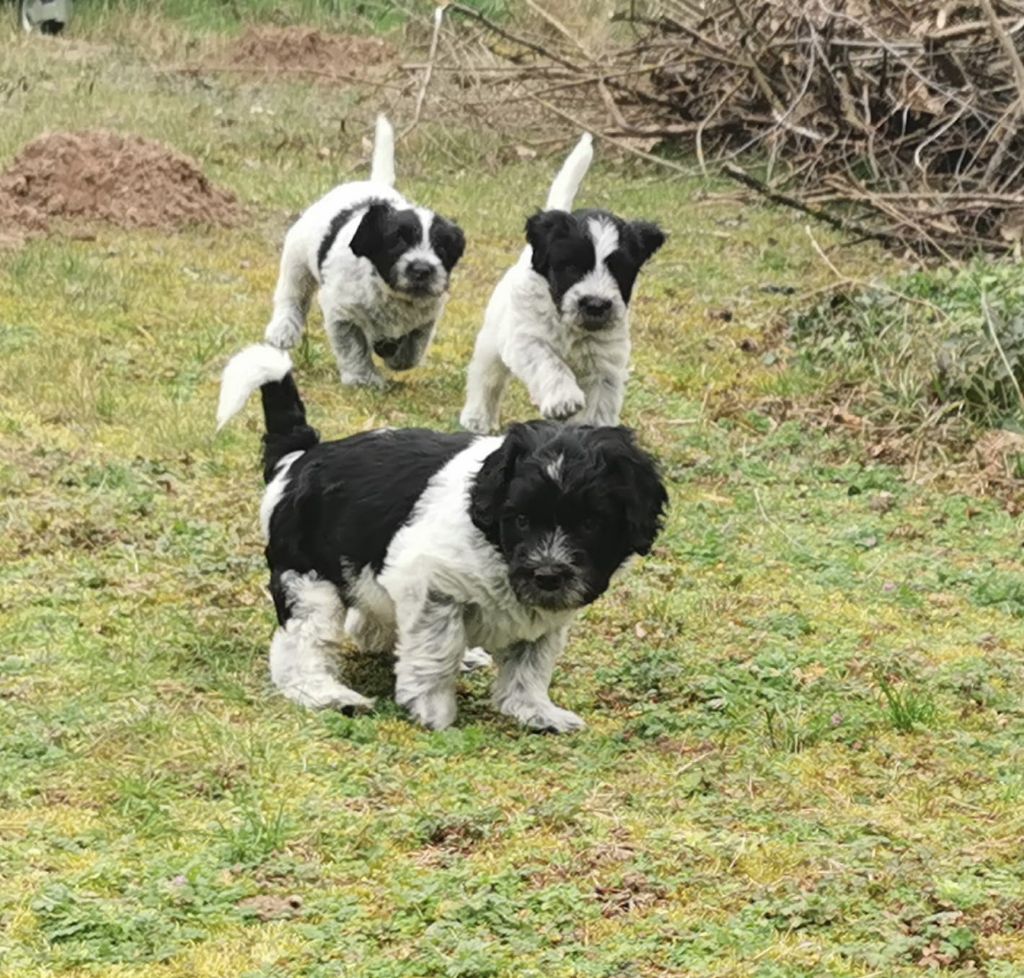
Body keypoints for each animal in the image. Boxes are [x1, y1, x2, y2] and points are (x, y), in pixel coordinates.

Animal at [217, 339, 667, 729]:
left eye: (591, 524)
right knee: (302, 646)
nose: (548, 576)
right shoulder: (428, 584)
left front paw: (532, 709)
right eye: (520, 520)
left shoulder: (544, 616)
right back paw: (328, 694)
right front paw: (432, 708)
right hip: (308, 580)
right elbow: (437, 647)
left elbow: (531, 661)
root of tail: (301, 455)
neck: (495, 545)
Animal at [262, 115, 466, 389]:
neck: (389, 292)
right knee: (291, 297)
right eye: (397, 242)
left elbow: (413, 348)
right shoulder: (341, 313)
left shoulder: (428, 316)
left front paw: (394, 355)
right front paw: (363, 378)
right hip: (297, 260)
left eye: (442, 248)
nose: (422, 270)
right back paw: (283, 330)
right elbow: (353, 347)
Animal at [460, 135, 667, 436]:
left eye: (619, 270)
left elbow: (599, 402)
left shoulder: (605, 364)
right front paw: (563, 399)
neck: (572, 327)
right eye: (571, 267)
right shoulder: (526, 339)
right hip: (492, 340)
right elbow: (550, 363)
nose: (596, 304)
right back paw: (477, 417)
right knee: (486, 377)